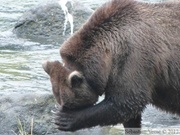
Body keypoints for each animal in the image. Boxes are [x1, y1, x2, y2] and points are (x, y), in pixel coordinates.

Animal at [43, 0, 180, 133]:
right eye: (60, 100)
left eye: (70, 105)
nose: (60, 111)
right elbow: (130, 116)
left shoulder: (134, 60)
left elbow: (126, 102)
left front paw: (66, 119)